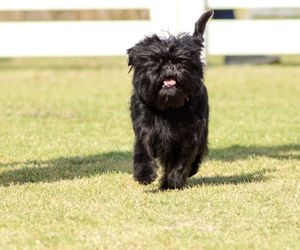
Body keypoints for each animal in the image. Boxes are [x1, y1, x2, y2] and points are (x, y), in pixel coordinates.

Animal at [126, 10, 213, 189]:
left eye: (181, 61)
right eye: (155, 62)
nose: (169, 65)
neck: (168, 108)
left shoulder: (189, 136)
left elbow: (182, 162)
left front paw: (173, 181)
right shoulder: (144, 130)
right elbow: (142, 153)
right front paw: (144, 175)